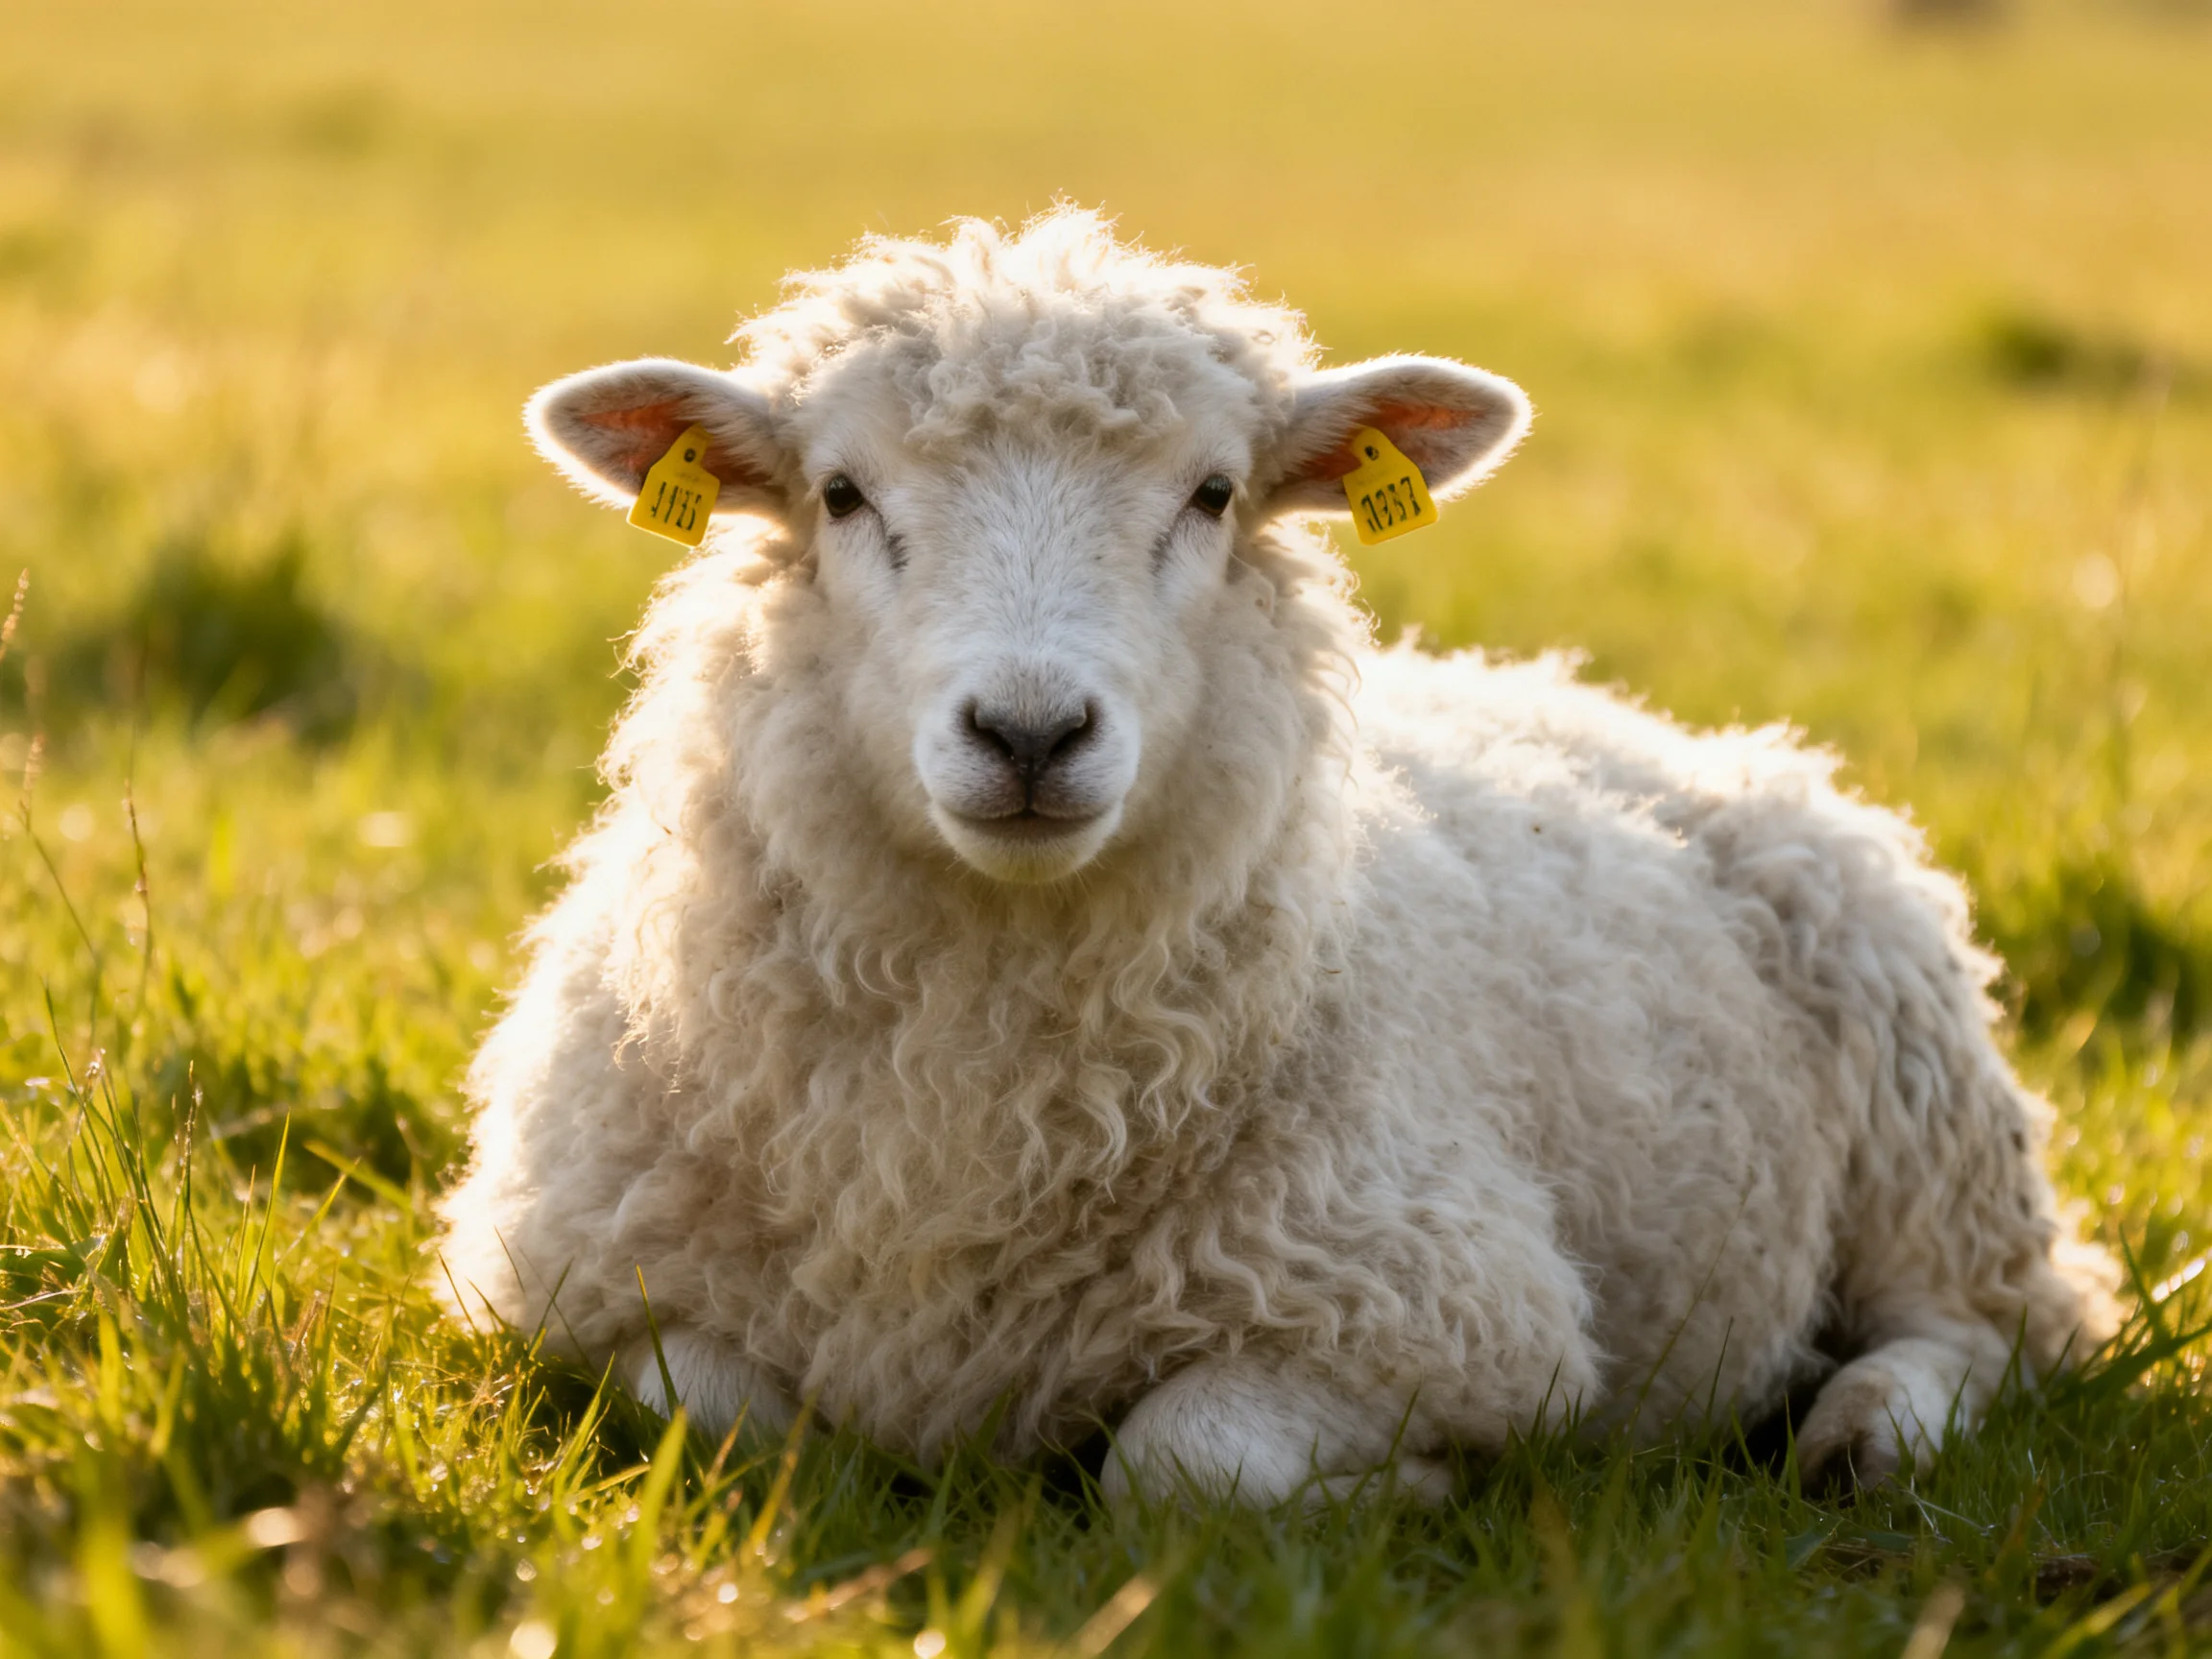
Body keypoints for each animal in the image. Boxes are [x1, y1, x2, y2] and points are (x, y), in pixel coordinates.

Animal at [438, 208, 2116, 1506]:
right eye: (843, 496)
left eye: (1214, 494)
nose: (1032, 731)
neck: (967, 1104)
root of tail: (1609, 704)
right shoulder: (577, 1279)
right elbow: (715, 1419)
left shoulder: (1437, 1299)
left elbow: (1189, 1464)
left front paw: (1421, 1486)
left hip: (1928, 1111)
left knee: (2003, 1324)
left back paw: (1865, 1433)